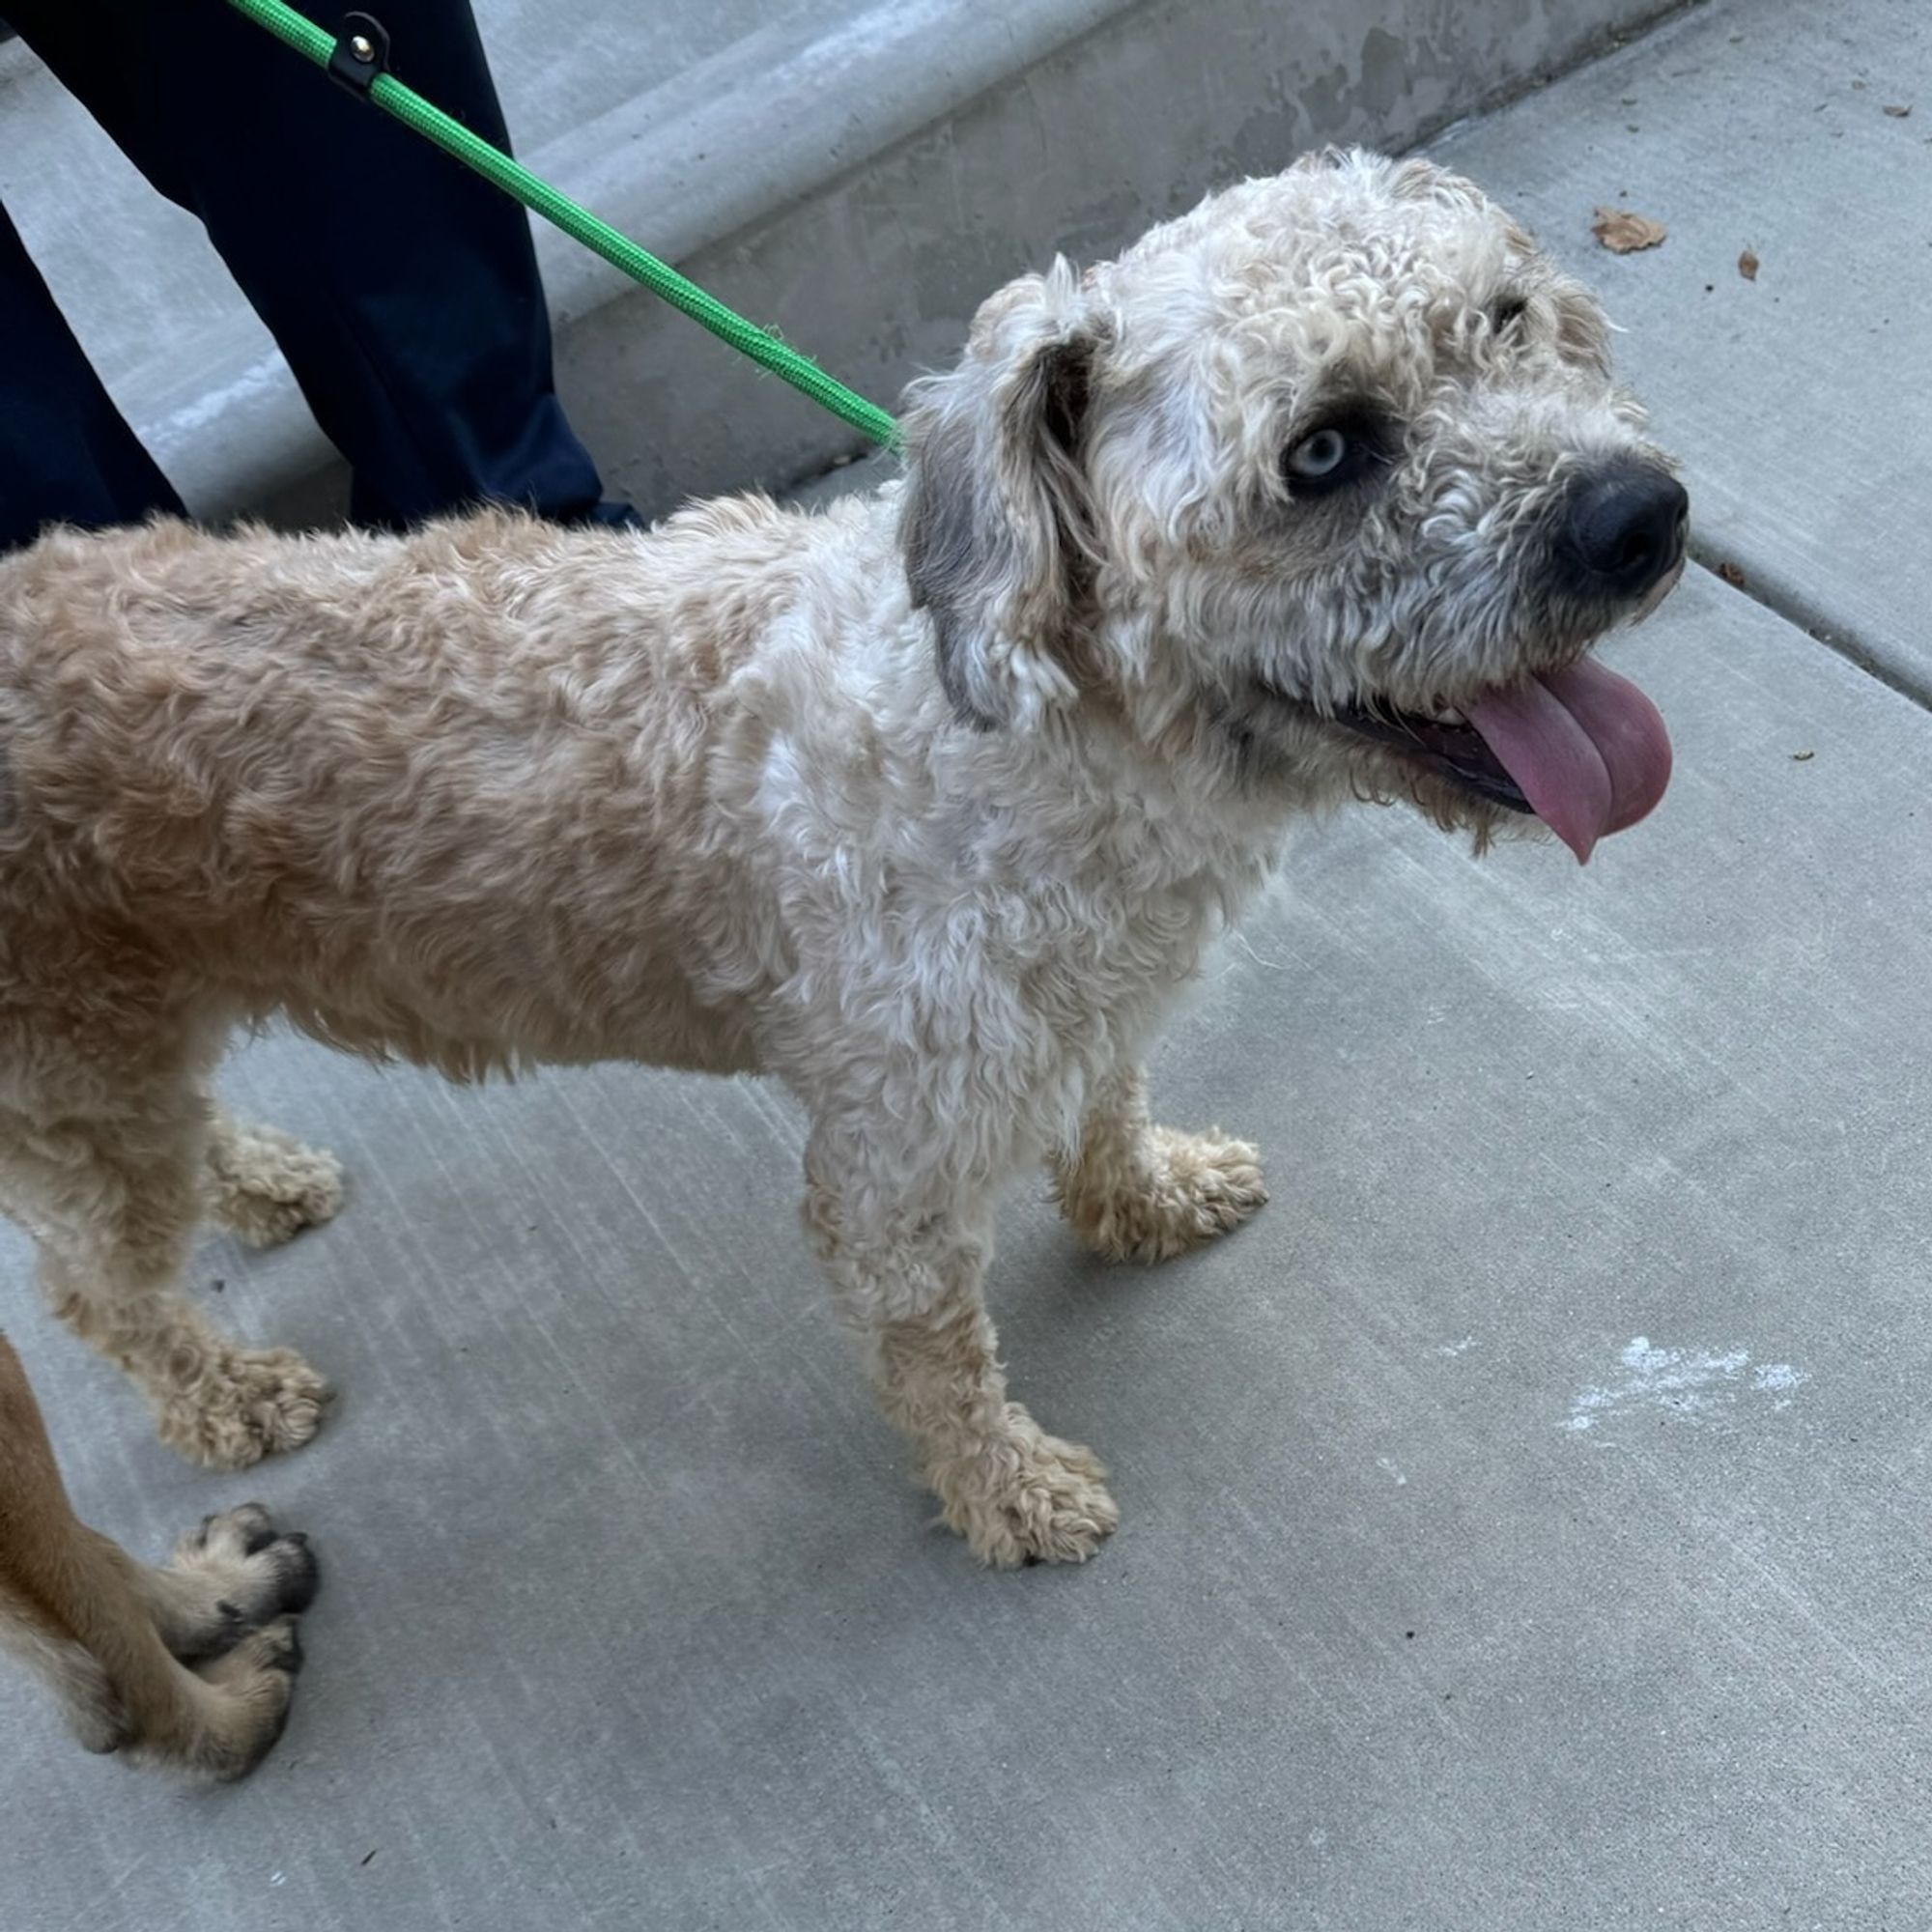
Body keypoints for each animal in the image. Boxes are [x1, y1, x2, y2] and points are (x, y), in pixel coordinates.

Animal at [0, 147, 1677, 1677]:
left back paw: (262, 1183)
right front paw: (1010, 1496)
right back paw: (226, 1394)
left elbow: (1109, 1105)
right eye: (1324, 450)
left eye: (1508, 320)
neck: (1048, 722)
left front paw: (1143, 1200)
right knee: (96, 1287)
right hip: (78, 1064)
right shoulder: (894, 1165)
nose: (1644, 516)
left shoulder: (1085, 1004)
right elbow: (938, 1361)